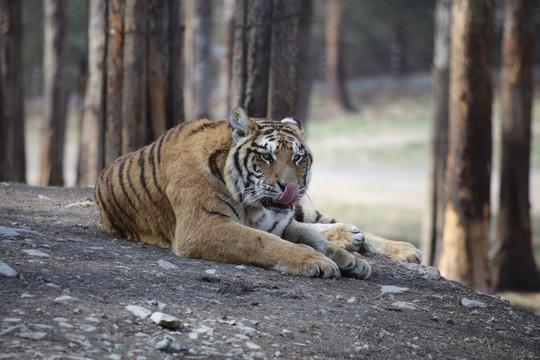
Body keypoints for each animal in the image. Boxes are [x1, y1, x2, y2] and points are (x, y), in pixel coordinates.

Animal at [94, 108, 422, 280]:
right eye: (266, 156)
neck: (250, 206)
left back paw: (399, 248)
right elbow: (266, 243)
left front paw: (350, 259)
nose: (290, 187)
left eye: (298, 158)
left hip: (302, 208)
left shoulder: (279, 220)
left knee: (323, 222)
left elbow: (307, 236)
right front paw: (318, 261)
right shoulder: (203, 225)